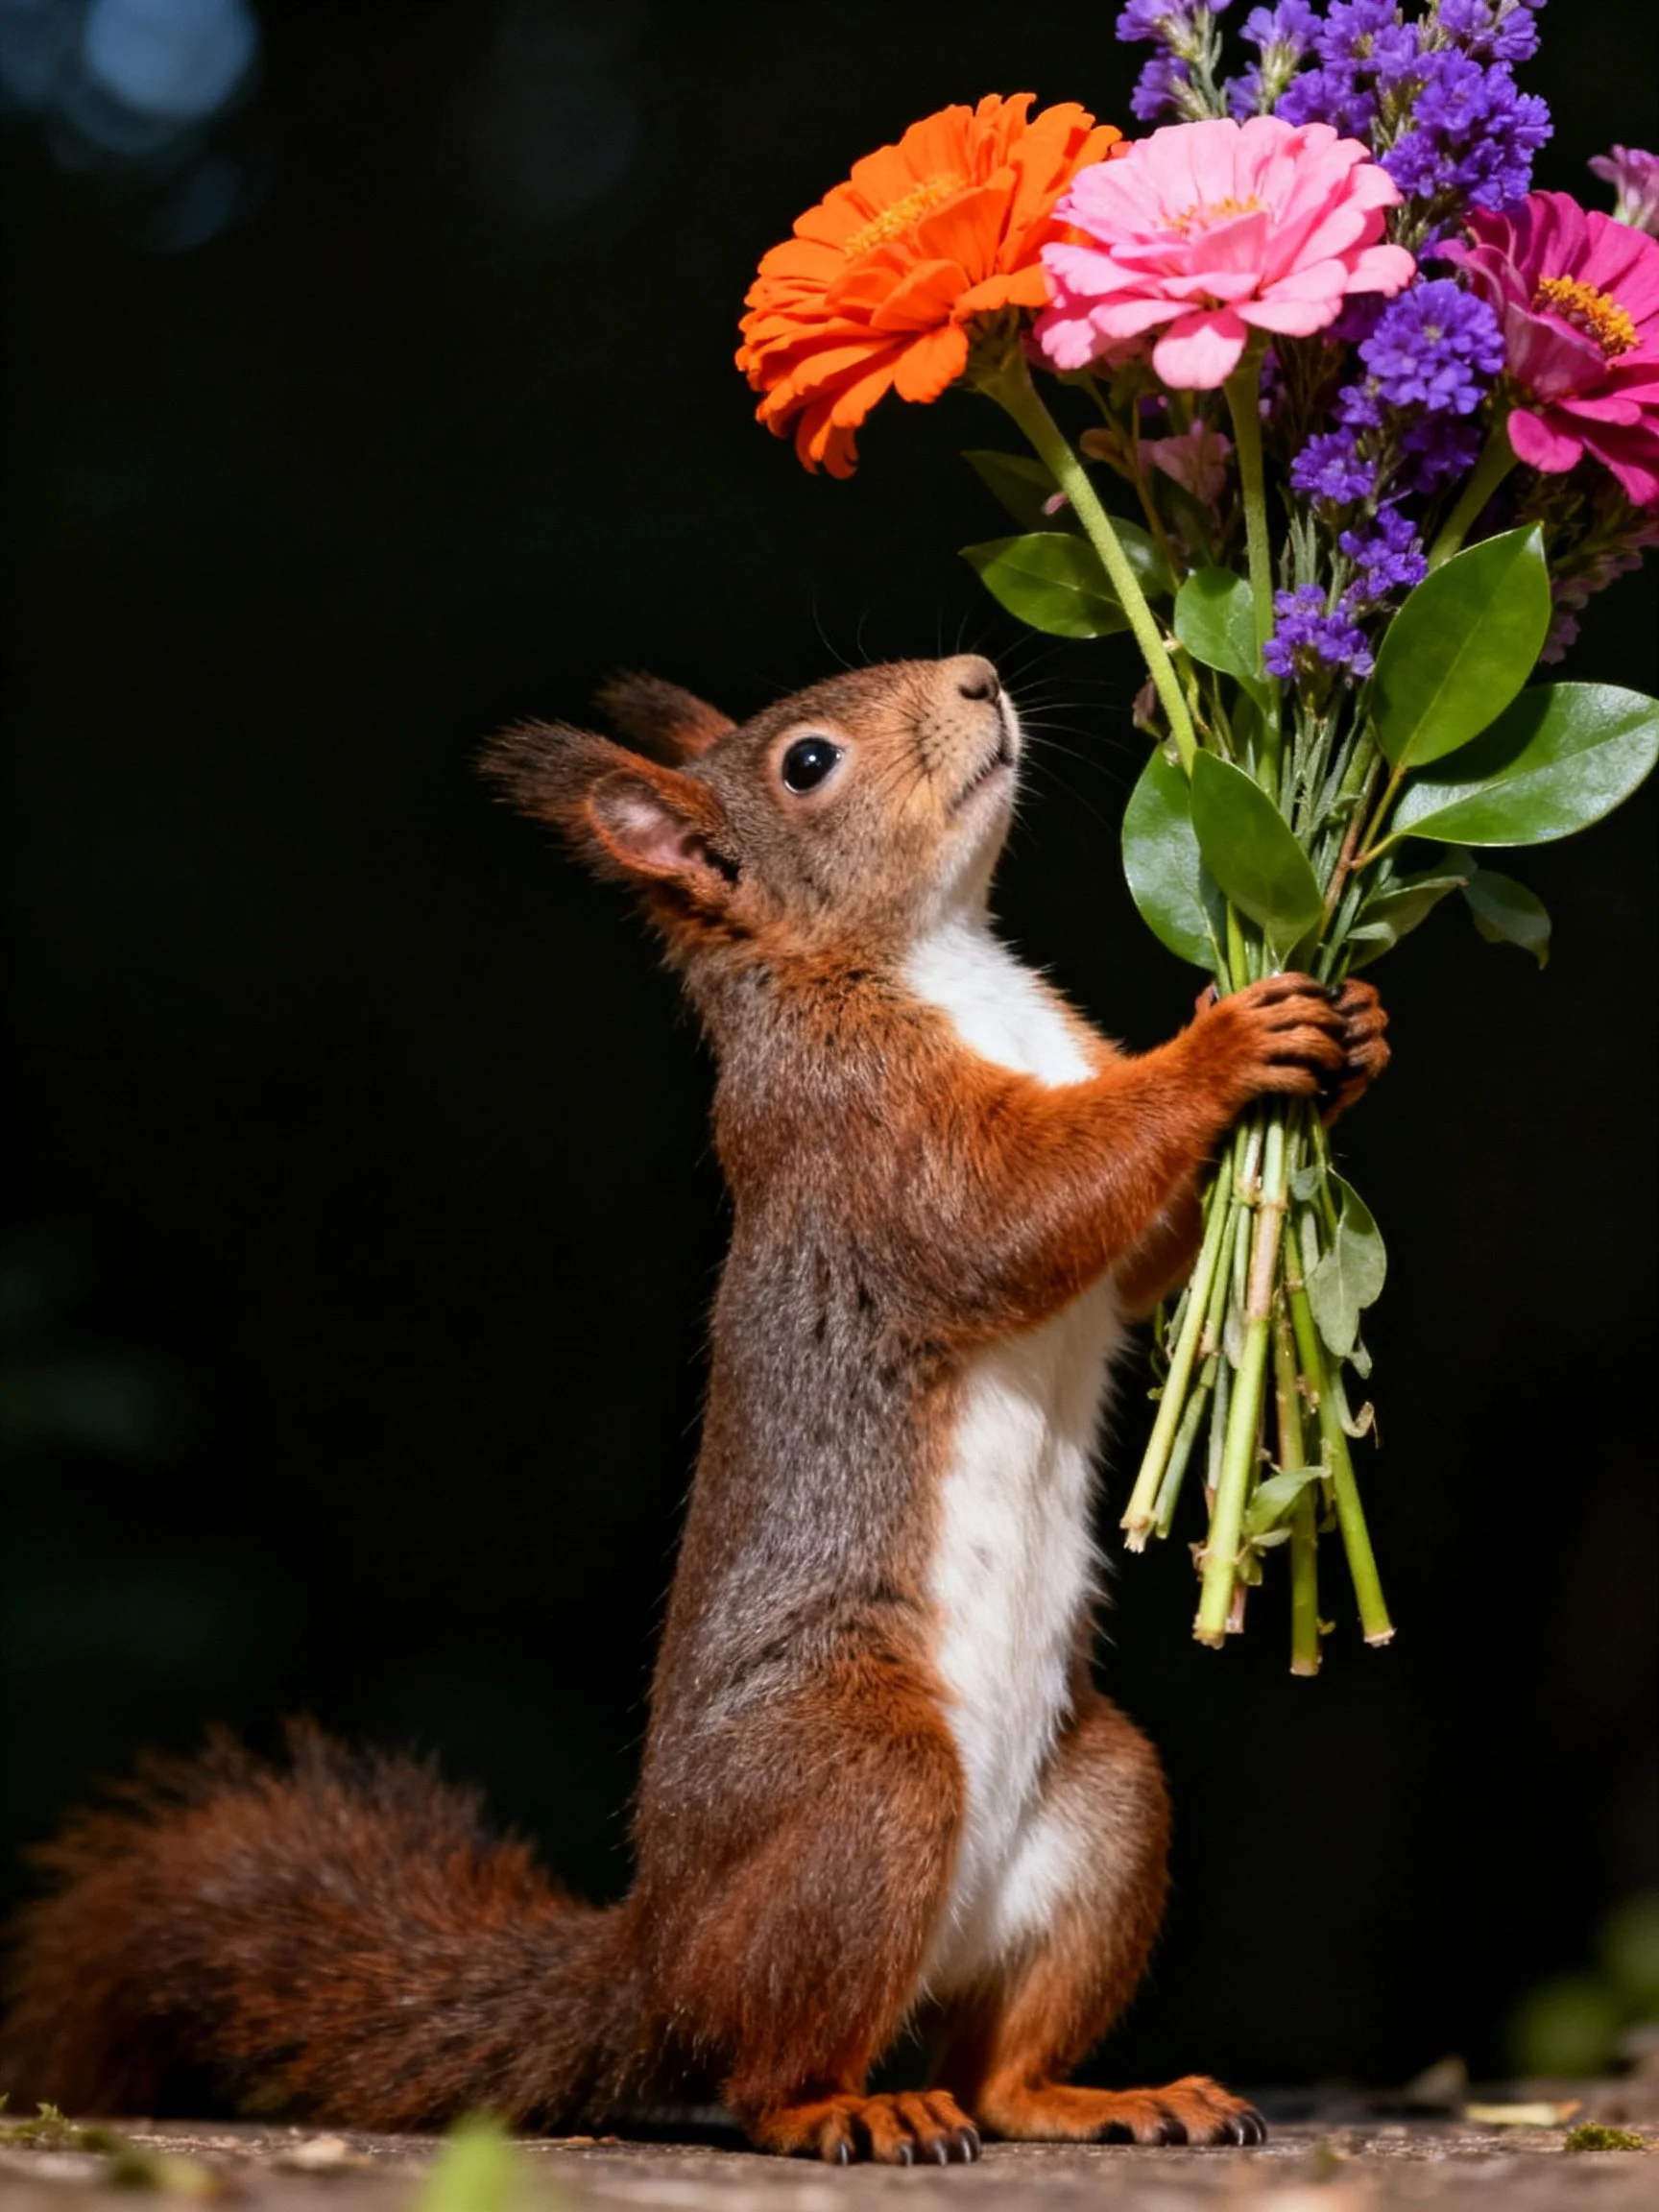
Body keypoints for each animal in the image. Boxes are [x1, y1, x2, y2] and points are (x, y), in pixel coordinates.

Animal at [2, 655, 1388, 2164]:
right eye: (808, 764)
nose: (977, 675)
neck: (934, 959)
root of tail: (657, 1957)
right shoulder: (859, 1135)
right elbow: (1010, 1214)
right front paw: (1222, 1045)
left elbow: (1141, 1264)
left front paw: (1353, 1034)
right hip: (862, 1778)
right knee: (768, 2065)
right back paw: (852, 2110)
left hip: (1105, 1798)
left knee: (995, 2072)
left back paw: (1102, 2097)